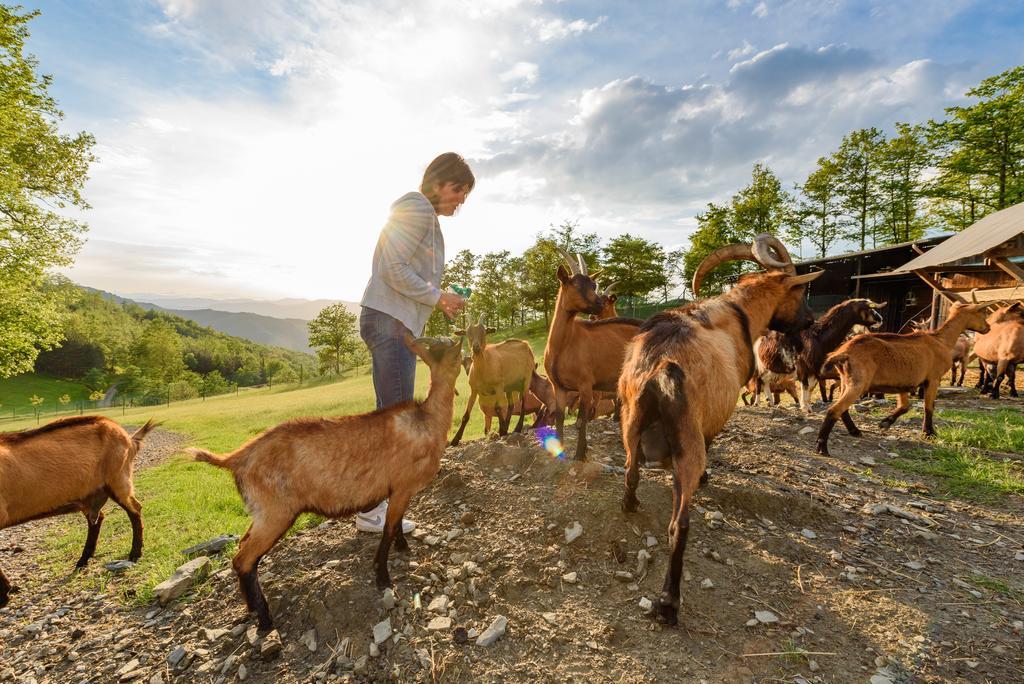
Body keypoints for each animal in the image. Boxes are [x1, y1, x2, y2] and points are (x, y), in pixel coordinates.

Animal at [0, 413, 157, 606]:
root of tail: (129, 438)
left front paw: (4, 595)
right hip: (89, 495)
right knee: (97, 518)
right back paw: (83, 560)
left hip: (118, 477)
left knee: (134, 509)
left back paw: (134, 553)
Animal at [192, 335, 464, 630]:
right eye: (451, 352)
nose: (463, 339)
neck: (427, 420)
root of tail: (236, 458)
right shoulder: (402, 486)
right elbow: (389, 528)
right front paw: (383, 577)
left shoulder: (398, 490)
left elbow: (398, 522)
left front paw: (403, 547)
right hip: (276, 512)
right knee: (243, 558)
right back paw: (265, 621)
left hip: (261, 512)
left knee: (243, 548)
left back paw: (253, 607)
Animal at [454, 313, 540, 444]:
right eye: (468, 333)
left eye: (484, 332)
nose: (476, 347)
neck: (483, 368)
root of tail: (525, 344)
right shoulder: (474, 389)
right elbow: (466, 415)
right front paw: (455, 439)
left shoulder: (498, 386)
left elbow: (498, 408)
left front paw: (502, 431)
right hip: (509, 386)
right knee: (511, 405)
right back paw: (508, 426)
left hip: (526, 379)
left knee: (523, 404)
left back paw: (516, 428)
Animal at [614, 233, 823, 626]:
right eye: (800, 292)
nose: (810, 320)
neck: (737, 314)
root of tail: (662, 366)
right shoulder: (715, 417)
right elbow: (713, 442)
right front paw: (709, 477)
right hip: (687, 440)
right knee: (678, 525)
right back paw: (668, 604)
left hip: (629, 422)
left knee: (631, 472)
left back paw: (630, 504)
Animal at [811, 301, 987, 456]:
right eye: (981, 313)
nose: (988, 328)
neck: (941, 339)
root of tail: (842, 352)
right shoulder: (933, 379)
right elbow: (928, 407)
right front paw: (929, 433)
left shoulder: (903, 384)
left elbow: (905, 406)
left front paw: (885, 422)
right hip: (858, 383)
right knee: (834, 410)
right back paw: (822, 447)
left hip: (846, 381)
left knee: (843, 408)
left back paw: (854, 431)